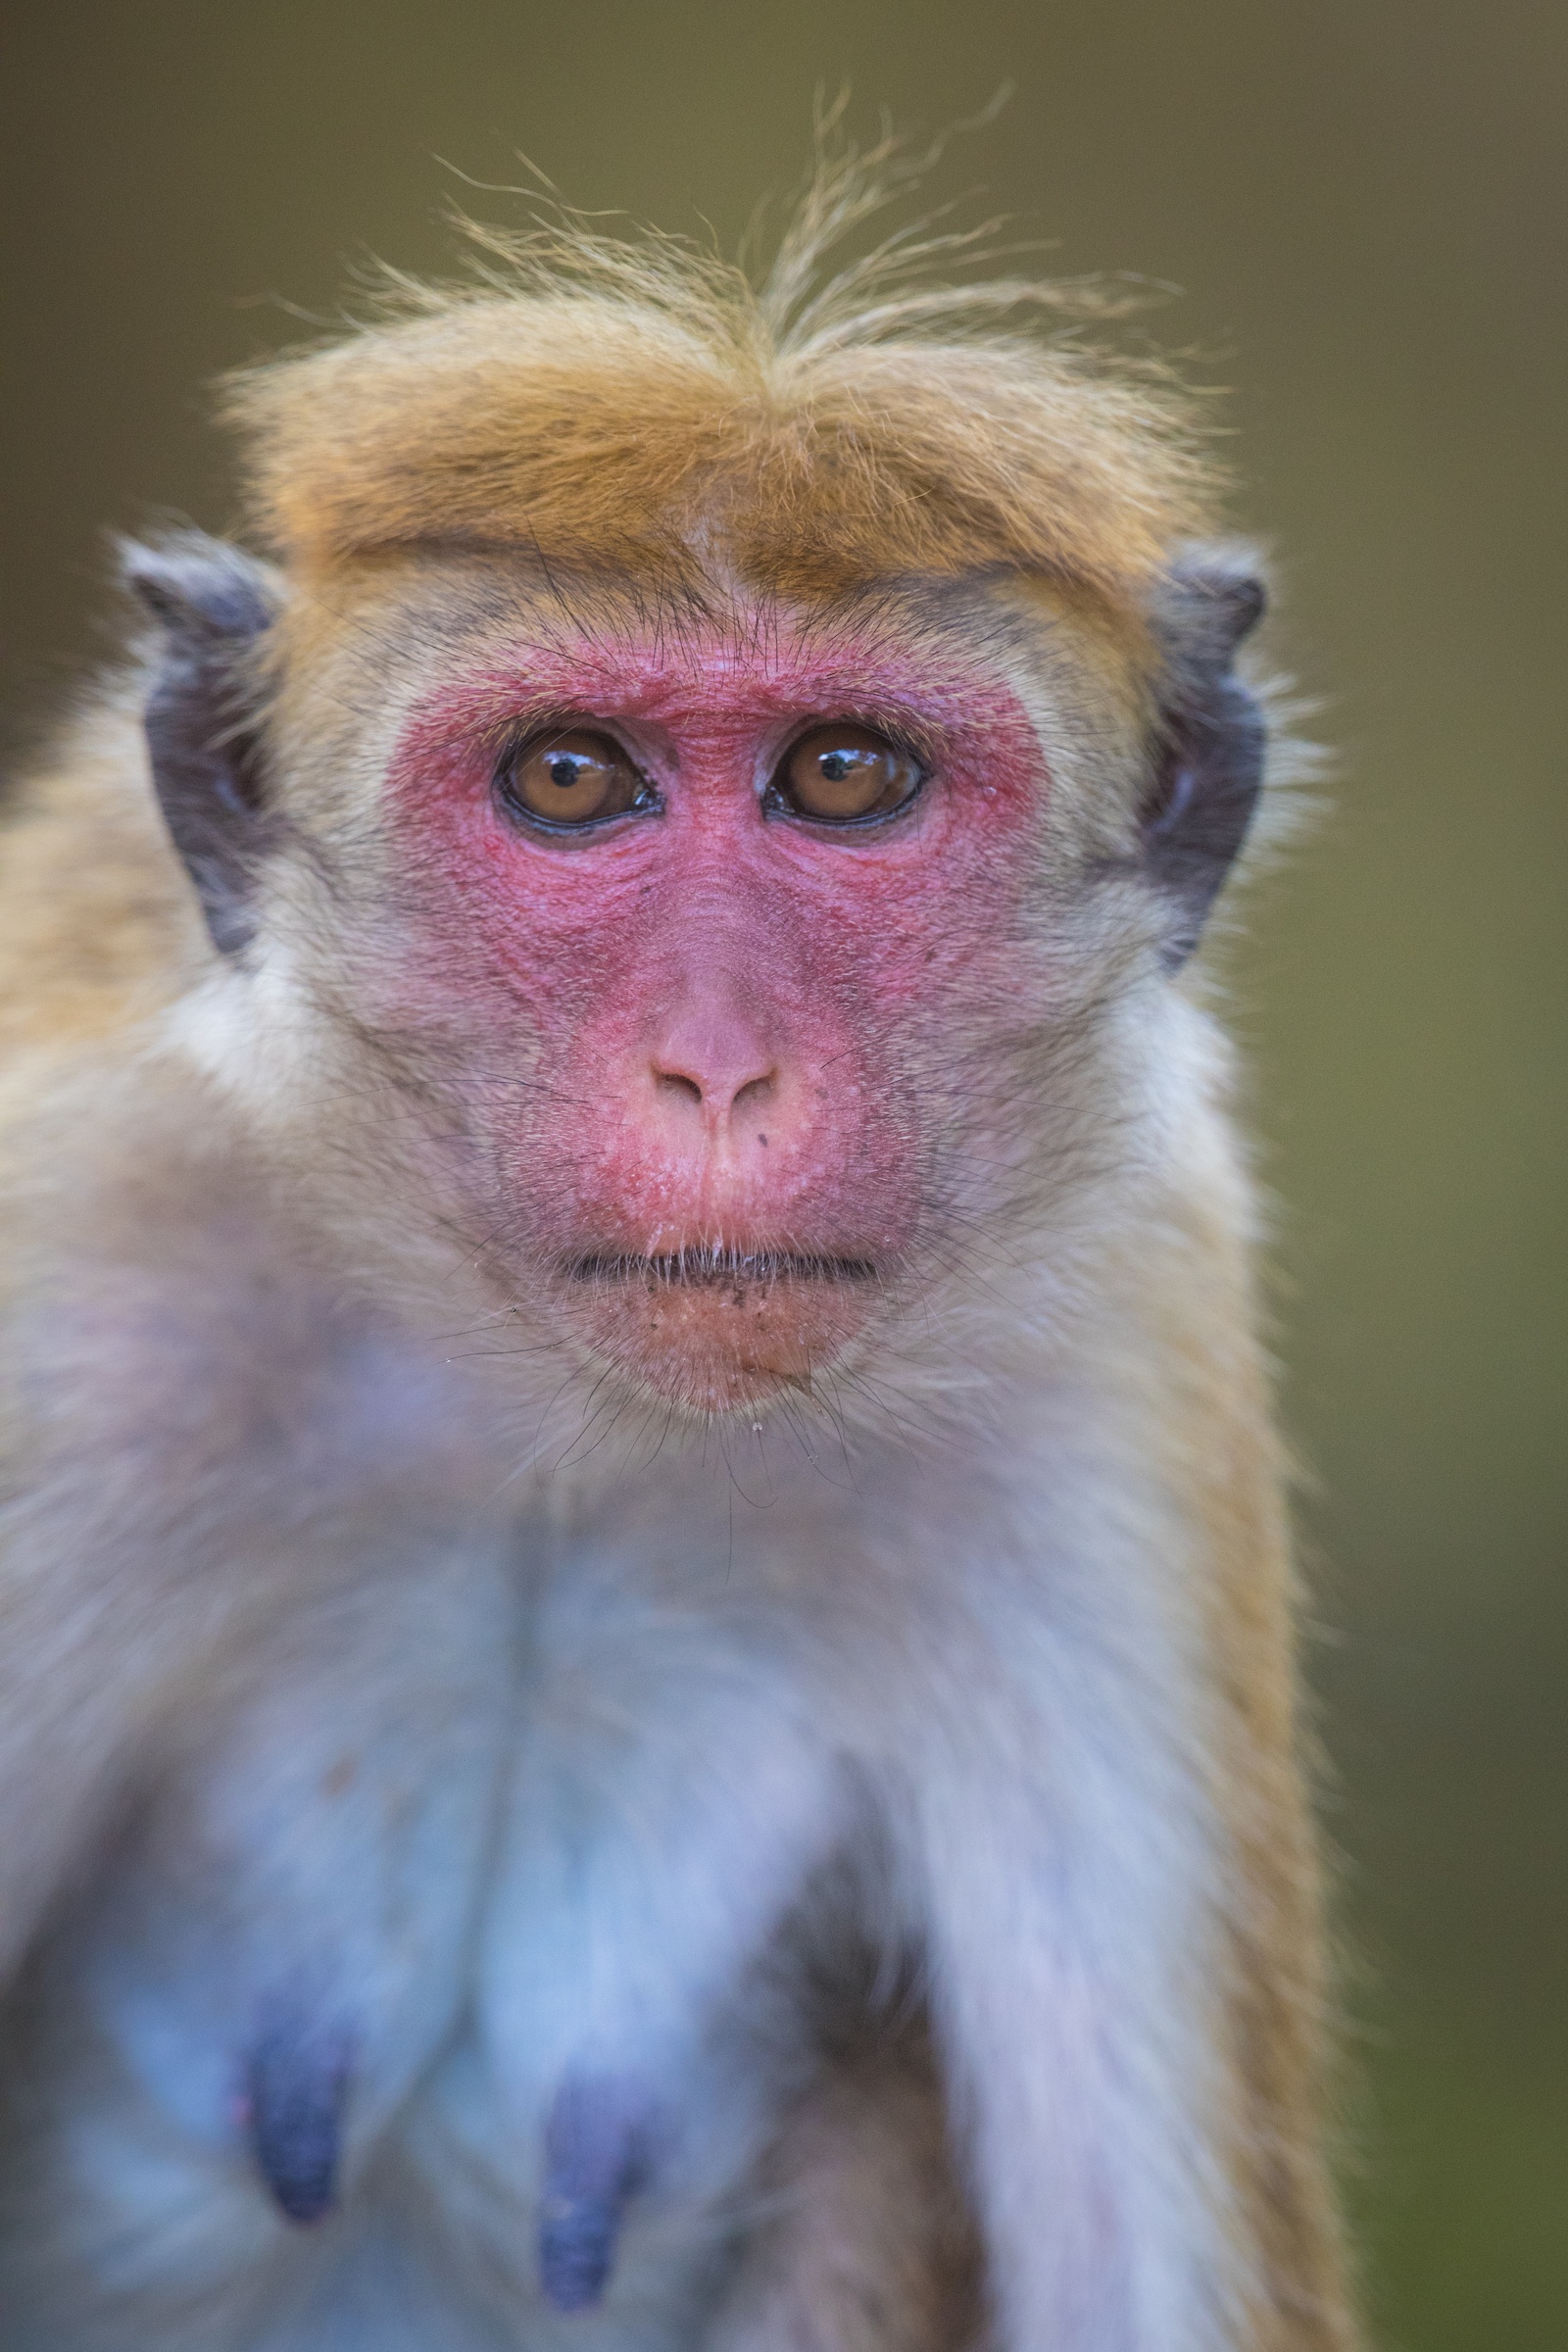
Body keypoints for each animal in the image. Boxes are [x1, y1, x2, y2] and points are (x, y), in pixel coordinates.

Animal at [0, 163, 1356, 2352]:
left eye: (843, 776)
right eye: (569, 780)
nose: (717, 1065)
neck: (546, 1428)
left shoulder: (1120, 1356)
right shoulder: (79, 1286)